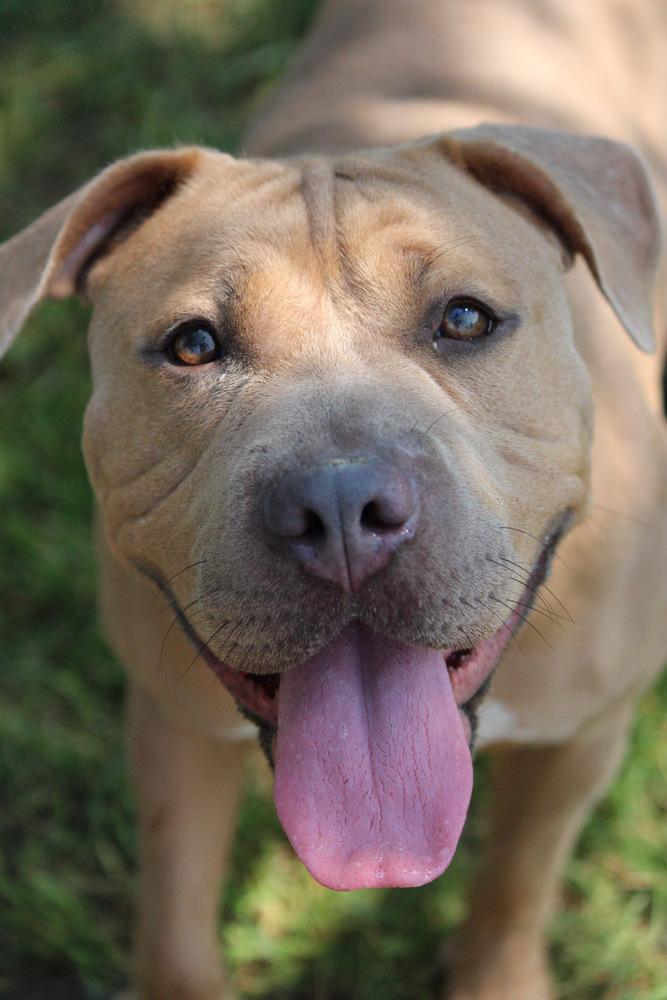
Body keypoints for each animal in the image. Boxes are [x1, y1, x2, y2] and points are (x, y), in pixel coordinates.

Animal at [1, 1, 667, 1000]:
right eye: (192, 344)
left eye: (464, 319)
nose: (342, 507)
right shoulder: (171, 723)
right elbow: (175, 934)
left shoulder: (580, 738)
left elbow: (513, 888)